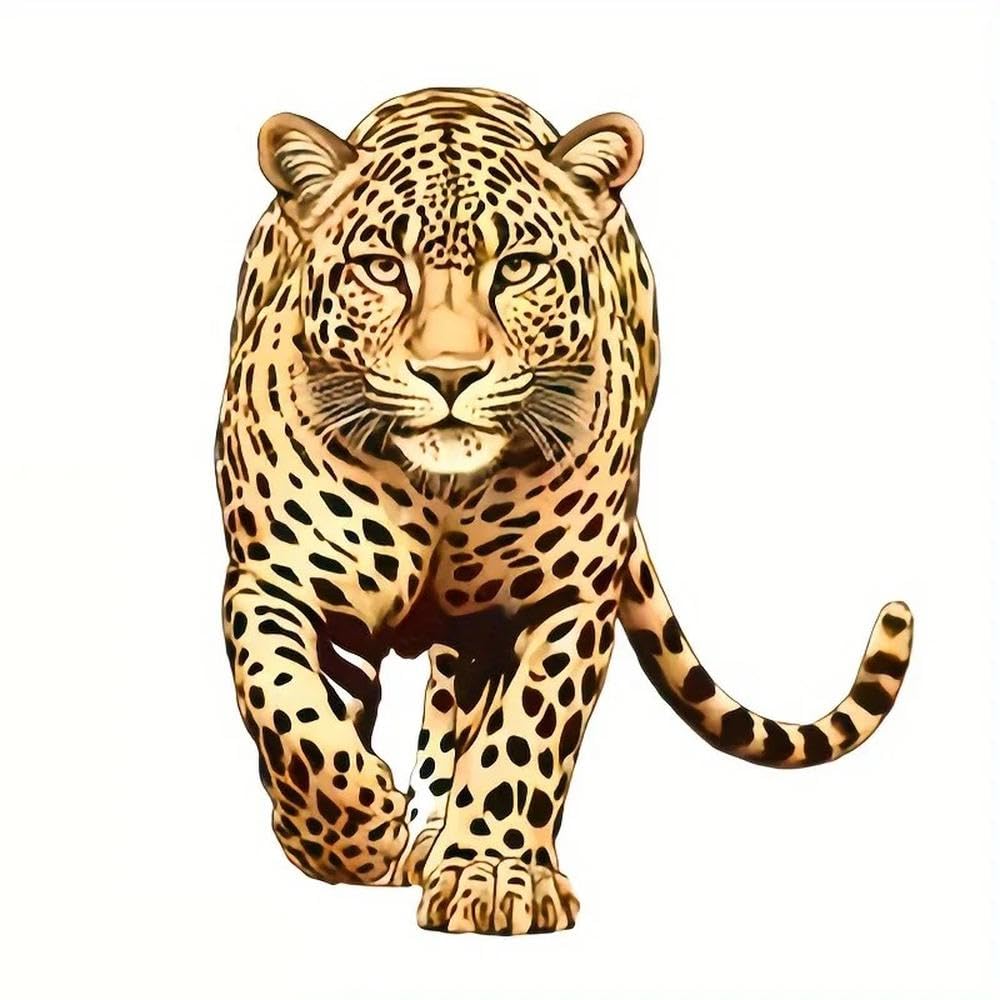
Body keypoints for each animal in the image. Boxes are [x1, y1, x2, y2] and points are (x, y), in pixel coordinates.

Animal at [215, 87, 914, 935]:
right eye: (383, 268)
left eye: (517, 268)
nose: (449, 375)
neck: (441, 491)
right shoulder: (281, 583)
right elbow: (291, 713)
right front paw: (347, 833)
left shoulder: (564, 600)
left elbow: (524, 736)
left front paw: (490, 873)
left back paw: (439, 836)